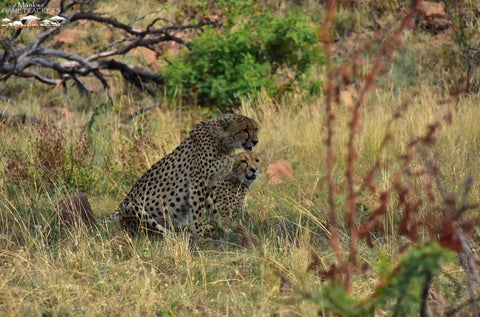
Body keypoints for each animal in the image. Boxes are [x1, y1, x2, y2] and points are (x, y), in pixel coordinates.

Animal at [115, 113, 258, 235]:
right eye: (245, 130)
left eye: (256, 129)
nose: (255, 141)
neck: (224, 141)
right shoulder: (198, 180)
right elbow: (197, 210)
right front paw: (199, 233)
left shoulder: (210, 182)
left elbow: (213, 209)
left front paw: (221, 229)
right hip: (133, 208)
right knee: (163, 232)